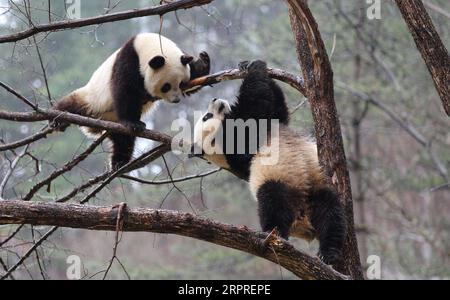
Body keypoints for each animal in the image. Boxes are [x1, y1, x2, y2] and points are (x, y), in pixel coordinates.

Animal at [55, 32, 211, 170]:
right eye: (166, 86)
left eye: (181, 83)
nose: (176, 100)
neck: (146, 45)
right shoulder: (128, 61)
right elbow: (125, 91)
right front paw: (134, 123)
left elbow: (195, 77)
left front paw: (203, 61)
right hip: (92, 99)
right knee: (73, 103)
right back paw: (58, 120)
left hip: (114, 123)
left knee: (123, 141)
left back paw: (119, 163)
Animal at [192, 59, 346, 264]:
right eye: (206, 117)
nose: (215, 99)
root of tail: (302, 220)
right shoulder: (236, 142)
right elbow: (255, 105)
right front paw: (255, 67)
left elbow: (278, 109)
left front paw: (244, 65)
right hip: (279, 181)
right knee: (273, 202)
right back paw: (276, 235)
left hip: (315, 189)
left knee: (330, 212)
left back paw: (330, 253)